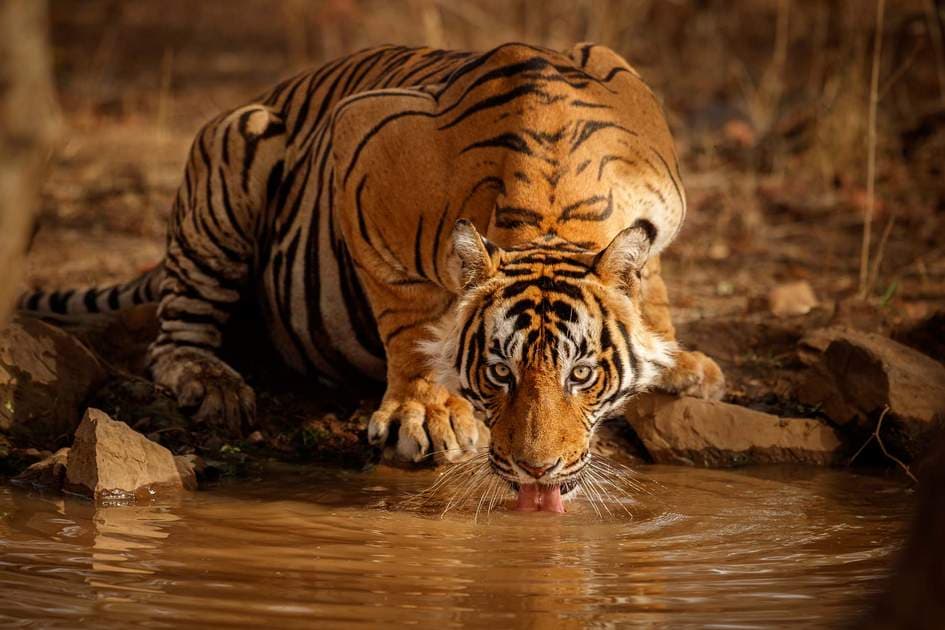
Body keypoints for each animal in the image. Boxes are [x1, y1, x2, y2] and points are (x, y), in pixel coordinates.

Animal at [20, 43, 724, 510]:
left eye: (581, 375)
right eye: (500, 373)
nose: (535, 472)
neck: (552, 205)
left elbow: (652, 281)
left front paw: (675, 359)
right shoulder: (361, 155)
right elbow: (408, 317)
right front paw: (426, 414)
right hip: (235, 148)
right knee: (174, 338)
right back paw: (212, 383)